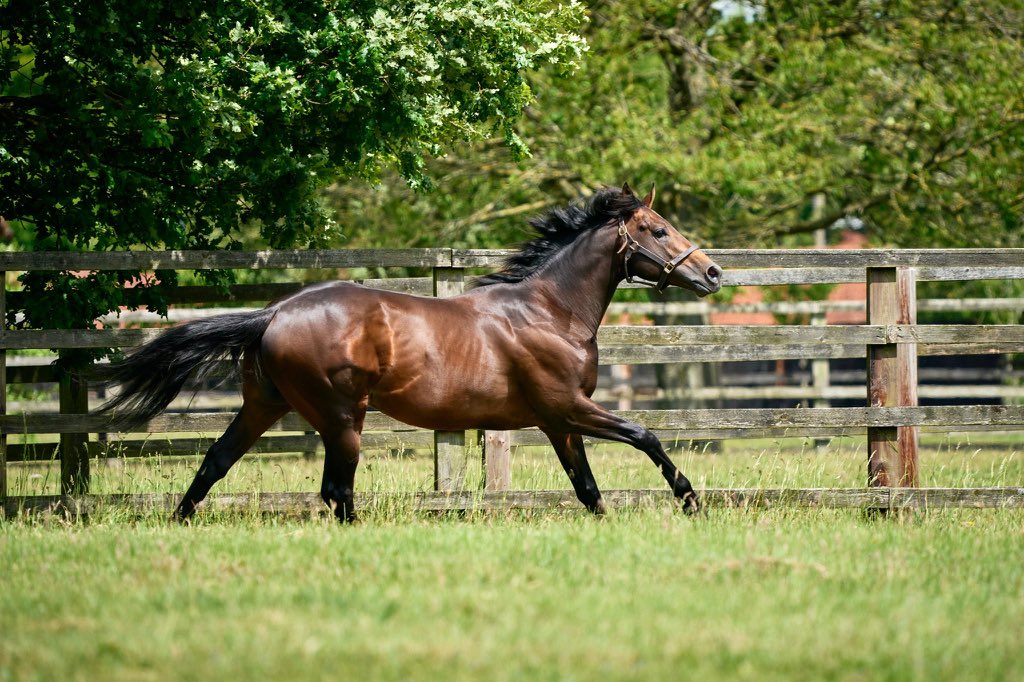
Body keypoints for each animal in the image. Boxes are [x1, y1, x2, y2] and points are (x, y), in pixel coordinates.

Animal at [98, 183, 722, 522]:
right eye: (658, 230)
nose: (713, 273)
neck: (550, 311)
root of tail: (273, 314)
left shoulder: (558, 422)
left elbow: (587, 488)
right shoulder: (567, 407)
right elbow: (645, 435)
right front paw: (691, 501)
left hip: (264, 406)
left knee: (216, 462)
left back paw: (180, 523)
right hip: (341, 416)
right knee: (335, 491)